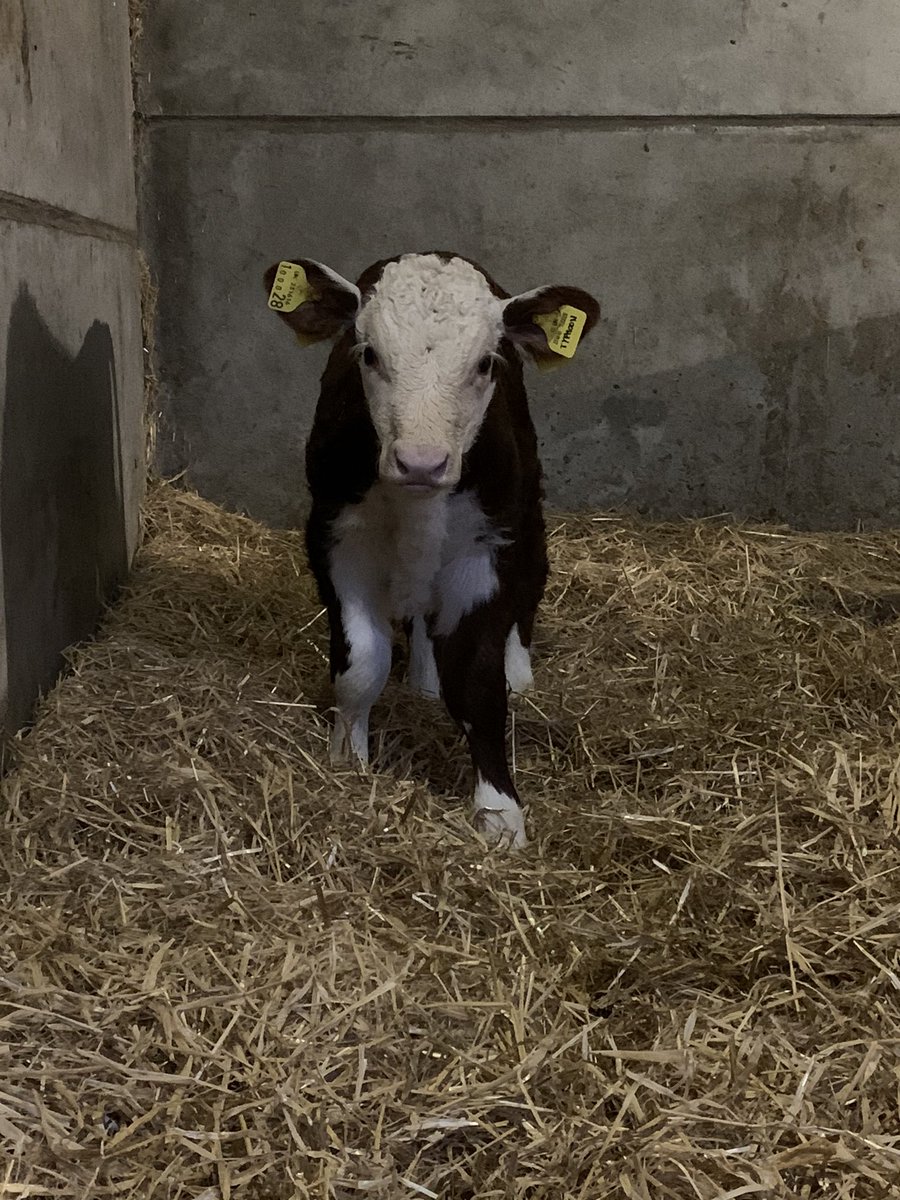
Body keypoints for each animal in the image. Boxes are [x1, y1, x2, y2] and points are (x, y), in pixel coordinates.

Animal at [264, 252, 599, 848]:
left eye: (486, 363)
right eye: (368, 354)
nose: (421, 462)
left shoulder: (485, 550)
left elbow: (478, 684)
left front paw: (499, 811)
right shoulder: (334, 539)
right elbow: (362, 664)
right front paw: (348, 759)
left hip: (526, 513)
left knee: (532, 581)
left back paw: (519, 669)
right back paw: (422, 678)